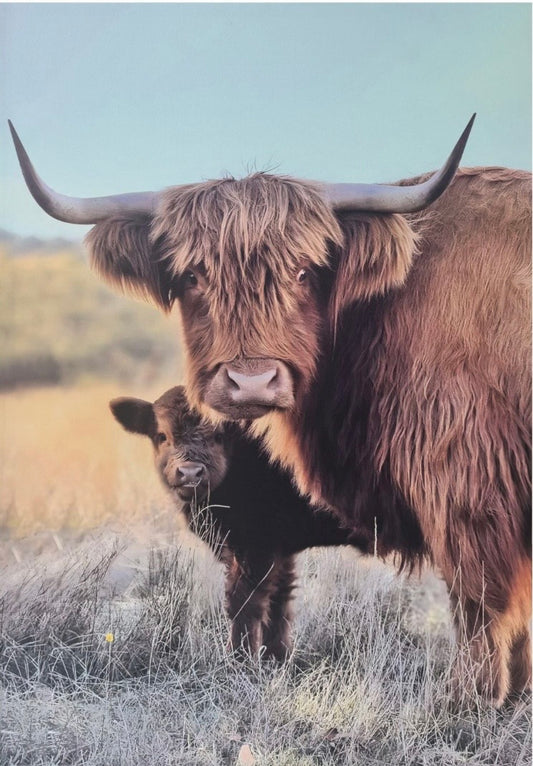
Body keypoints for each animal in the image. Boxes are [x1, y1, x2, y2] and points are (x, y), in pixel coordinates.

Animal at [110, 385, 363, 660]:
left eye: (219, 435)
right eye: (161, 435)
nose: (190, 473)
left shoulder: (254, 546)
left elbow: (243, 602)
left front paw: (239, 659)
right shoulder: (279, 549)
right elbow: (279, 600)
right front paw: (276, 657)